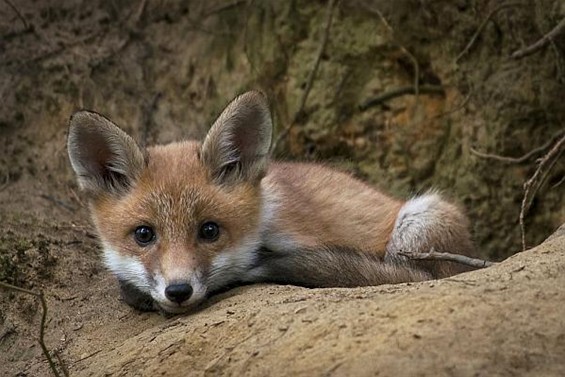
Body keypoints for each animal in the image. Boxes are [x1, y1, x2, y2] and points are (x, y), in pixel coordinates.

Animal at [68, 90, 474, 312]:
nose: (179, 292)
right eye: (144, 235)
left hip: (420, 220)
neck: (263, 225)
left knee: (416, 277)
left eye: (210, 231)